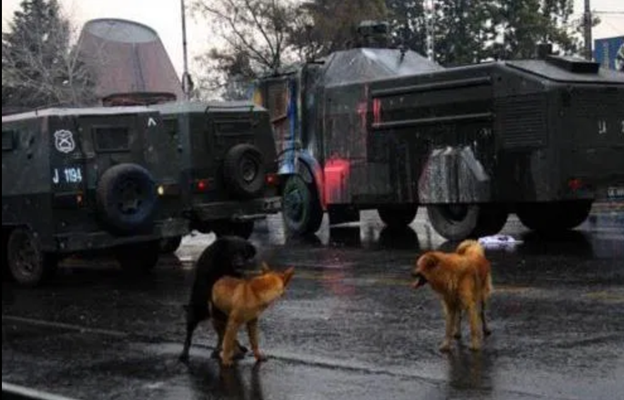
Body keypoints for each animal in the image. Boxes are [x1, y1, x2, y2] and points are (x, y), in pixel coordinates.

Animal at [179, 234, 258, 362]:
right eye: (232, 252)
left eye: (244, 253)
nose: (239, 265)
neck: (224, 265)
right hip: (196, 310)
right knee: (190, 333)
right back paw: (185, 352)